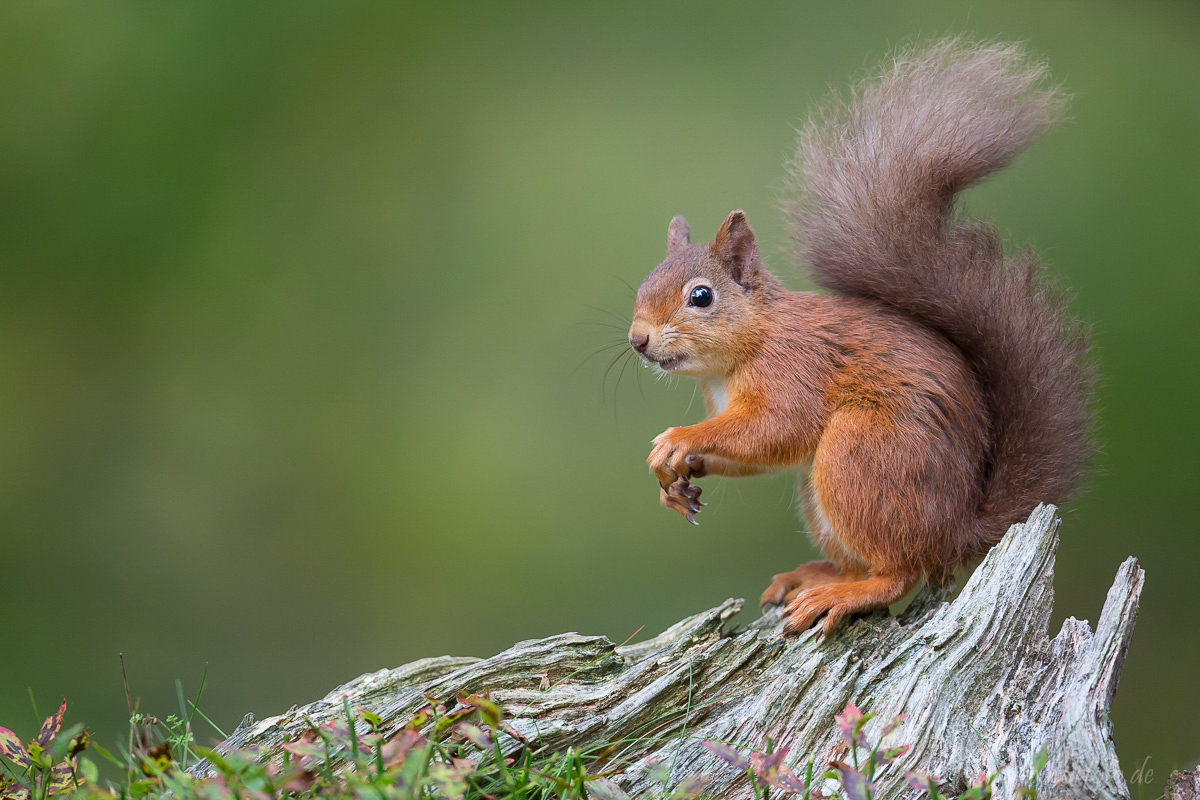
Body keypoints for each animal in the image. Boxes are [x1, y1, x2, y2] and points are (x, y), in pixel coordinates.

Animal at [628, 38, 1099, 638]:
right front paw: (678, 479)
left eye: (702, 296)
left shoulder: (794, 369)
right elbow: (755, 455)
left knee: (899, 573)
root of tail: (956, 530)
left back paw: (844, 593)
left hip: (861, 455)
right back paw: (814, 577)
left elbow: (775, 429)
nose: (638, 340)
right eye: (642, 285)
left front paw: (680, 440)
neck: (738, 355)